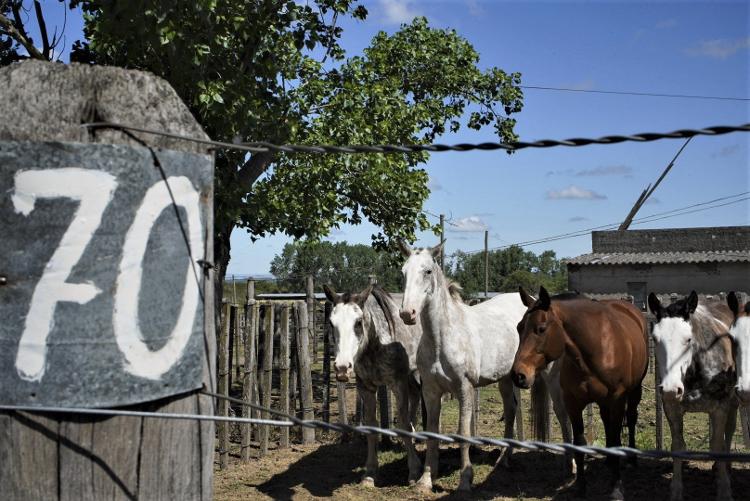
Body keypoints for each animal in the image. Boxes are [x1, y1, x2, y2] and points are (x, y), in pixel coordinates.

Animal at [324, 284, 426, 486]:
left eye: (358, 322)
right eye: (332, 323)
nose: (342, 367)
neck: (376, 344)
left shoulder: (397, 383)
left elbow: (403, 423)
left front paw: (414, 470)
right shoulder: (366, 387)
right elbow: (371, 425)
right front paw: (370, 473)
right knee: (415, 396)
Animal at [400, 242, 528, 492]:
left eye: (427, 271)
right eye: (403, 272)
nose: (407, 313)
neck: (441, 338)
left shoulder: (465, 388)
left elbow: (463, 432)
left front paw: (465, 481)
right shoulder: (430, 391)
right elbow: (432, 431)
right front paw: (425, 480)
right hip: (505, 378)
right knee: (510, 410)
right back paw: (503, 460)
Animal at [512, 286, 652, 500]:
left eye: (541, 328)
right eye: (519, 327)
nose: (518, 375)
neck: (595, 349)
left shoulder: (617, 401)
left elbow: (616, 438)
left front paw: (616, 489)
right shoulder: (573, 403)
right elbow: (579, 443)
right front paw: (580, 487)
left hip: (634, 391)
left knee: (631, 418)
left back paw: (631, 459)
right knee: (606, 422)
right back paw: (608, 460)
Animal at [652, 290, 740, 500]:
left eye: (688, 339)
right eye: (655, 339)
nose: (670, 389)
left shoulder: (720, 407)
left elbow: (718, 445)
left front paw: (724, 490)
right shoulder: (672, 408)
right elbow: (677, 446)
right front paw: (676, 491)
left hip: (732, 403)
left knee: (729, 431)